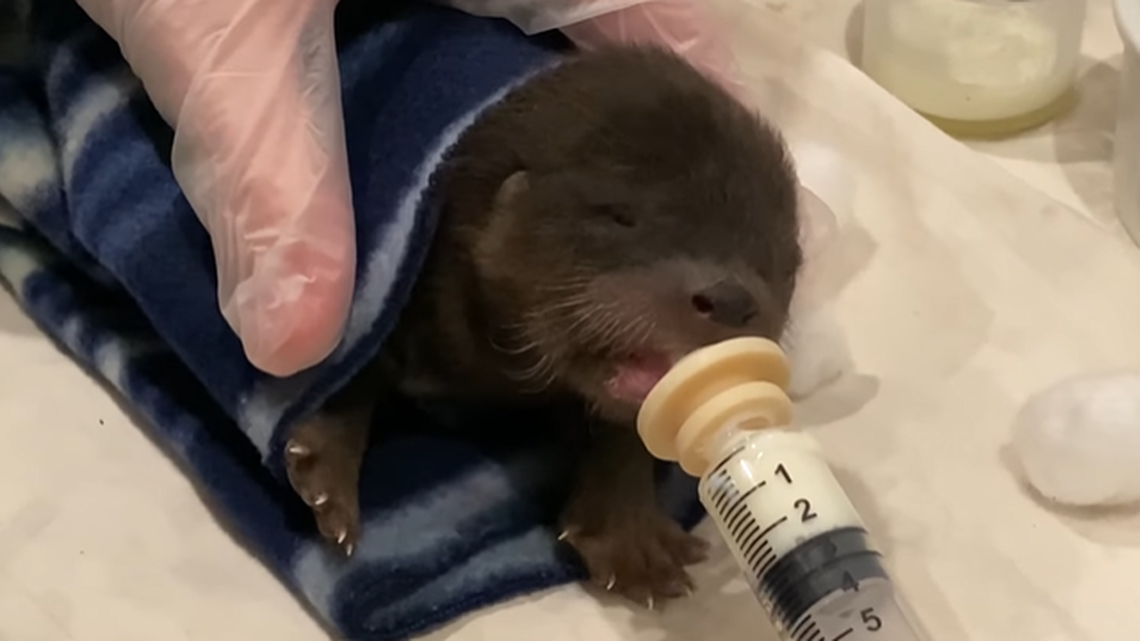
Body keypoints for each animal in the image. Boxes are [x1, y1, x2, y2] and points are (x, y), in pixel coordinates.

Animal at [283, 45, 803, 606]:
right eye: (620, 216)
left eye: (779, 258)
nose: (730, 299)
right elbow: (356, 359)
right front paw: (326, 462)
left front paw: (629, 532)